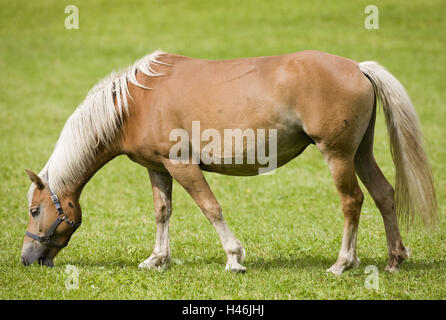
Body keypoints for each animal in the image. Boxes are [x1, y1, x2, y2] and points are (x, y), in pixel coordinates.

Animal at [20, 48, 436, 274]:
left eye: (35, 211)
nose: (27, 258)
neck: (135, 103)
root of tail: (357, 66)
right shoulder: (158, 168)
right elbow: (162, 212)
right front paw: (158, 259)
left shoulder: (182, 166)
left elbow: (211, 208)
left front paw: (234, 258)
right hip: (360, 153)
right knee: (384, 194)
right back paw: (394, 259)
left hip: (337, 156)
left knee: (353, 202)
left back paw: (342, 263)